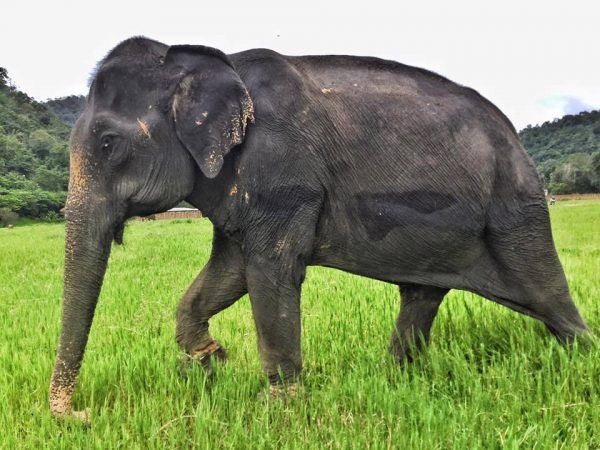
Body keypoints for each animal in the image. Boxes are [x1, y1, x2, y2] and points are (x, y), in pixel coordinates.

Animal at [49, 36, 588, 418]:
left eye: (107, 144)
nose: (79, 416)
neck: (198, 59)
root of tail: (515, 137)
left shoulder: (284, 171)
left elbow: (270, 271)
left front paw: (280, 410)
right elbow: (230, 270)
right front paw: (209, 360)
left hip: (515, 206)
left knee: (548, 295)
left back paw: (580, 364)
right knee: (420, 296)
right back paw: (397, 379)